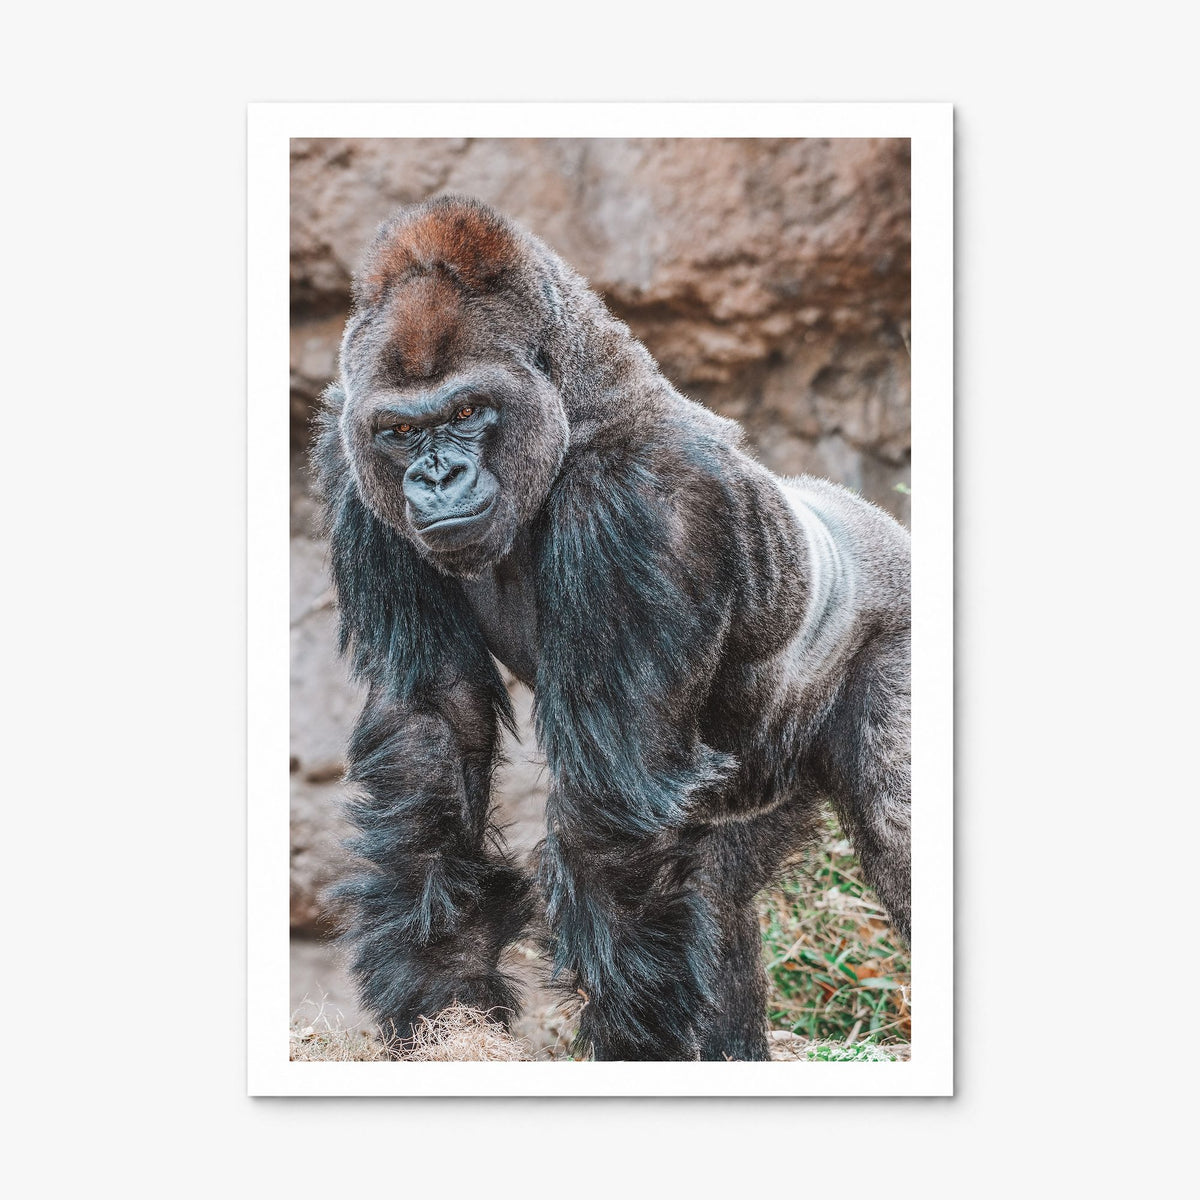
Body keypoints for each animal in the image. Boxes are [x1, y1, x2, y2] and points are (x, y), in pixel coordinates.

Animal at [312, 195, 910, 1061]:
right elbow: (433, 731)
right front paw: (445, 1009)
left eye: (466, 412)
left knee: (901, 832)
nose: (436, 476)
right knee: (716, 894)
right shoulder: (355, 469)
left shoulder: (643, 499)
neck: (573, 400)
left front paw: (631, 1042)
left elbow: (611, 802)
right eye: (400, 432)